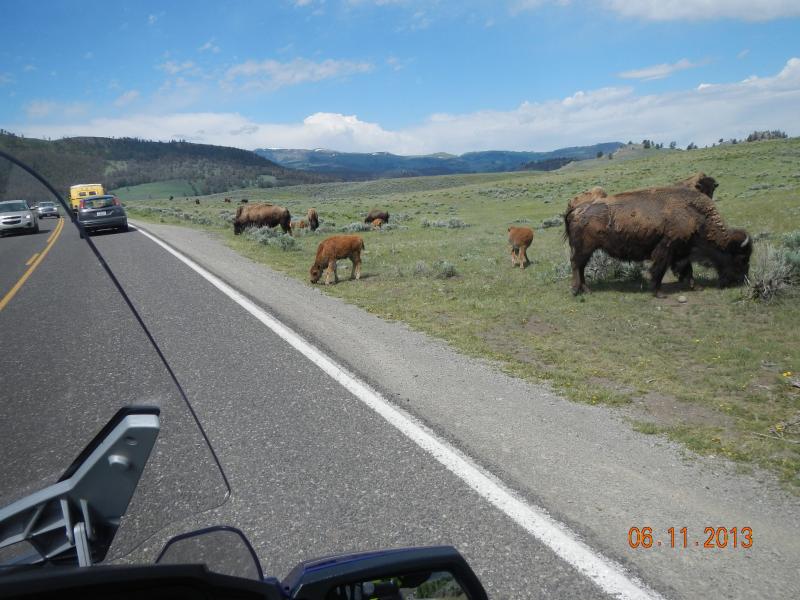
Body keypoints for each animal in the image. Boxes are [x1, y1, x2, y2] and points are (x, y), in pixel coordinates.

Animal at [564, 186, 751, 296]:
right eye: (742, 258)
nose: (741, 280)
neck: (696, 216)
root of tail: (577, 209)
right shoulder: (666, 249)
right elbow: (659, 269)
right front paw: (658, 292)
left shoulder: (682, 252)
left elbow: (687, 270)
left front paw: (696, 286)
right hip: (584, 248)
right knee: (576, 265)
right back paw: (576, 290)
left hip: (586, 249)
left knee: (580, 267)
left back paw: (586, 289)